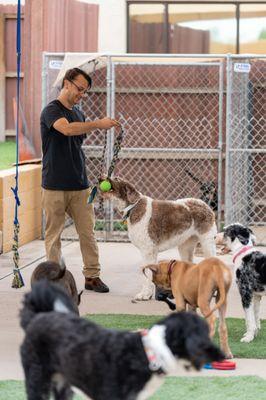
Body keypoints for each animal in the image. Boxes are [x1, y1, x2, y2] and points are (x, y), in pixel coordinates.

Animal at [20, 280, 224, 398]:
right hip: (37, 378)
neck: (149, 352)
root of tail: (36, 317)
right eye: (204, 335)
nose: (223, 355)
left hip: (62, 383)